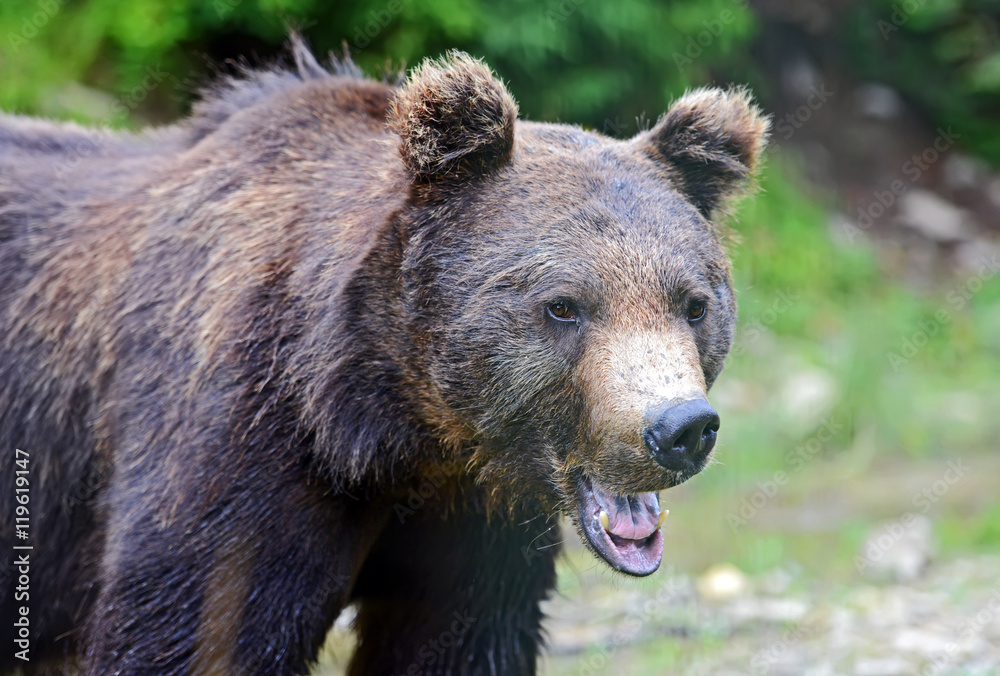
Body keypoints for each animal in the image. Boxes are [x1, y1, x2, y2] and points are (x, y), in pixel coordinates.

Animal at [0, 39, 768, 676]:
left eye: (693, 303)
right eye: (564, 306)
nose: (678, 428)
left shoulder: (472, 529)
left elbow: (455, 645)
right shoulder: (234, 451)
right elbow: (192, 631)